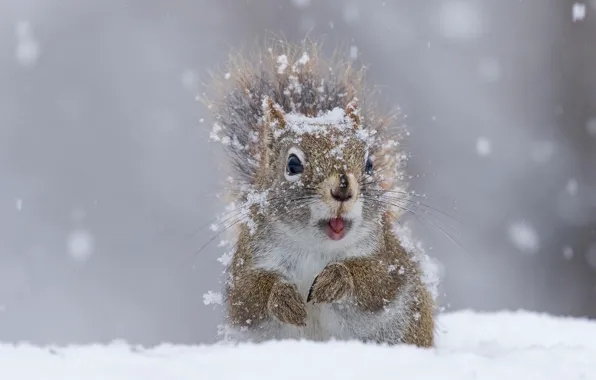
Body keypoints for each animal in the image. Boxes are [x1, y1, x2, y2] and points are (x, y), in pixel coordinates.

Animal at [203, 40, 436, 348]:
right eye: (292, 164)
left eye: (369, 164)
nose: (343, 188)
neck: (315, 248)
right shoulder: (247, 262)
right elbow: (247, 296)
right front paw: (282, 297)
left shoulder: (391, 258)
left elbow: (379, 282)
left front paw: (338, 278)